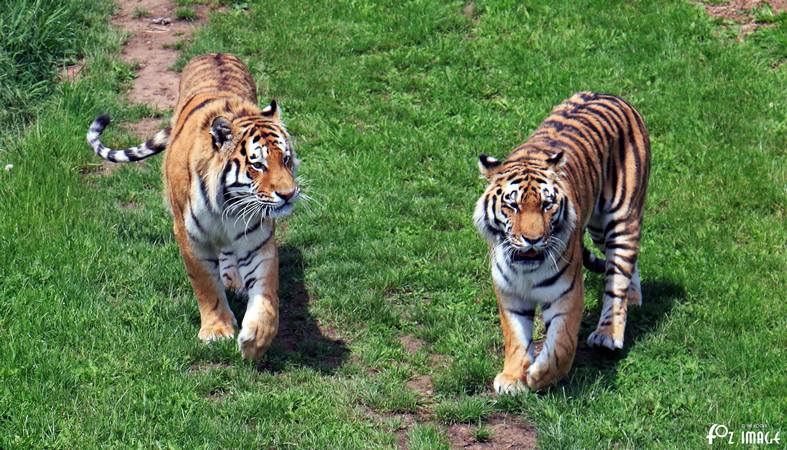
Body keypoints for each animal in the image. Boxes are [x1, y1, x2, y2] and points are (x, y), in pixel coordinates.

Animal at [85, 52, 302, 360]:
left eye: (285, 158)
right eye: (258, 165)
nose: (288, 194)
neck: (230, 205)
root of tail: (215, 52)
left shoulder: (256, 239)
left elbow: (266, 292)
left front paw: (256, 340)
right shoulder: (190, 236)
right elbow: (205, 284)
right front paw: (217, 330)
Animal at [474, 92, 652, 394]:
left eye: (546, 205)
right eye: (513, 205)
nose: (532, 239)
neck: (526, 269)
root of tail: (612, 95)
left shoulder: (566, 294)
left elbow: (561, 345)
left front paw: (539, 376)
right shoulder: (509, 294)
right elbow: (515, 338)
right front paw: (512, 378)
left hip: (621, 218)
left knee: (618, 275)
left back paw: (608, 333)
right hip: (598, 230)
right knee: (628, 263)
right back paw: (635, 297)